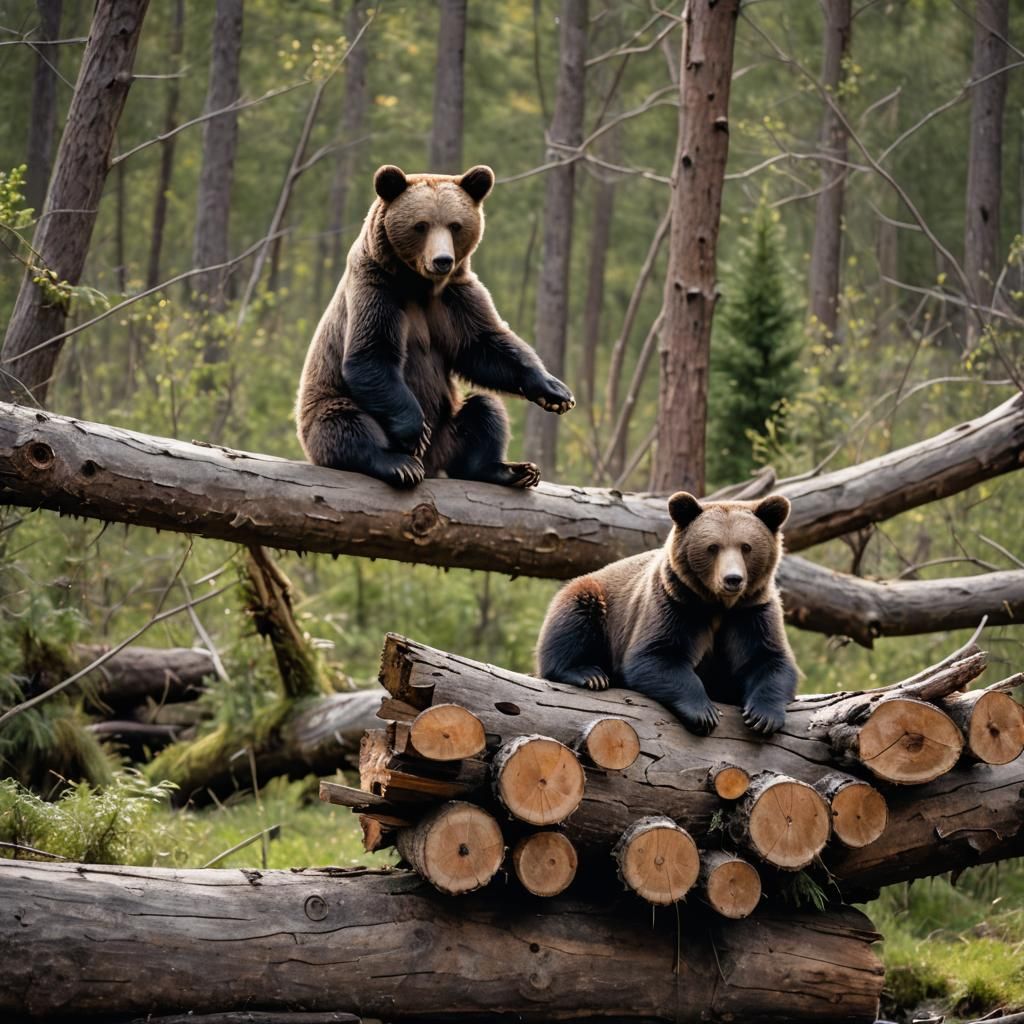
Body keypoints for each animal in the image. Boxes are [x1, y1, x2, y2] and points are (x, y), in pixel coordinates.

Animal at [296, 164, 575, 489]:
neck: (419, 284)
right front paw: (415, 431)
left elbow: (484, 345)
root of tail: (430, 464)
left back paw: (510, 470)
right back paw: (398, 463)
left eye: (455, 225)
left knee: (485, 411)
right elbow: (372, 355)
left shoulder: (455, 297)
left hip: (448, 431)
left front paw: (555, 393)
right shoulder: (376, 287)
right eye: (421, 225)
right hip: (324, 407)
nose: (443, 260)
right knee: (345, 422)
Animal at [535, 491, 798, 737]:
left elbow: (768, 658)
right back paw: (589, 674)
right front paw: (704, 713)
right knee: (574, 619)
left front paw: (763, 716)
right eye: (713, 547)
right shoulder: (676, 603)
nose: (732, 579)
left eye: (746, 547)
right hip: (595, 601)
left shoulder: (752, 611)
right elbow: (655, 656)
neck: (719, 604)